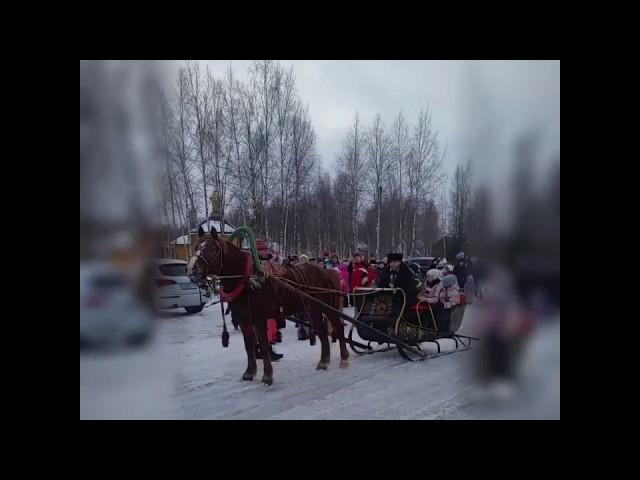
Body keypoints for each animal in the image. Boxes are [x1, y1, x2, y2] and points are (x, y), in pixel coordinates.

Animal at [189, 229, 350, 386]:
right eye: (196, 247)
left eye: (212, 248)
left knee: (338, 327)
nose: (191, 269)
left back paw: (344, 358)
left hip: (328, 307)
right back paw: (324, 361)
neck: (248, 279)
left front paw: (267, 375)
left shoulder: (259, 319)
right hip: (314, 309)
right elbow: (249, 345)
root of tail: (326, 271)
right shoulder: (244, 320)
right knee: (322, 331)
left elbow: (264, 345)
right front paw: (250, 372)